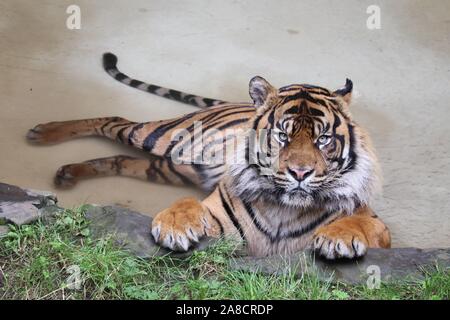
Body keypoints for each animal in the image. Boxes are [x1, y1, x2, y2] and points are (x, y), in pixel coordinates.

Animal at [26, 52, 390, 258]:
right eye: (282, 135)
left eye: (323, 139)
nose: (300, 173)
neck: (283, 208)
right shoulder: (221, 219)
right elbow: (188, 205)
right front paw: (173, 227)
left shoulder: (379, 228)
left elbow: (362, 223)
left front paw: (338, 239)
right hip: (164, 138)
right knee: (112, 121)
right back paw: (43, 133)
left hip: (171, 168)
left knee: (121, 158)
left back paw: (68, 172)